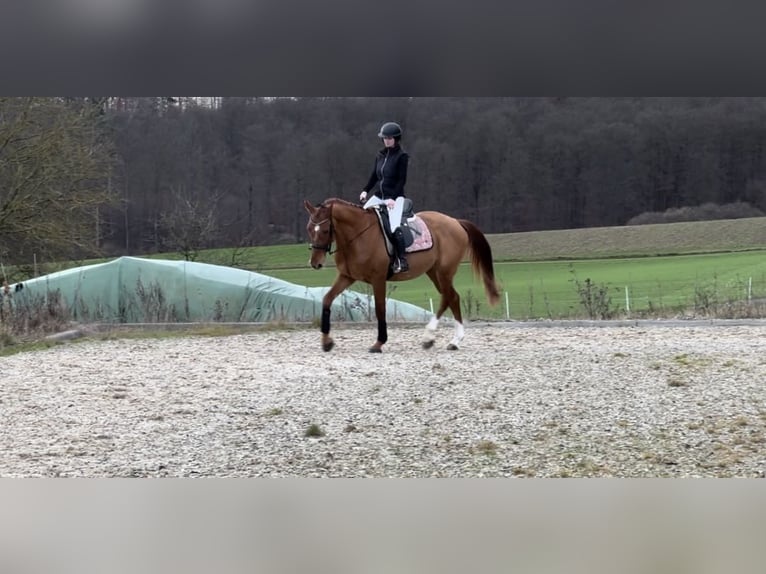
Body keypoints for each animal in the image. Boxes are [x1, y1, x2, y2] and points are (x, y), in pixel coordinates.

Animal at [304, 199, 500, 356]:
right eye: (309, 229)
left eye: (325, 230)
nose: (315, 263)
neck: (358, 236)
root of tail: (455, 222)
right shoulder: (347, 276)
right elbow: (327, 299)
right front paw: (326, 342)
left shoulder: (378, 279)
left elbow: (380, 309)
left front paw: (379, 343)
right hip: (434, 272)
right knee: (451, 297)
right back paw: (441, 340)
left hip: (444, 272)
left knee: (450, 296)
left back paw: (445, 338)